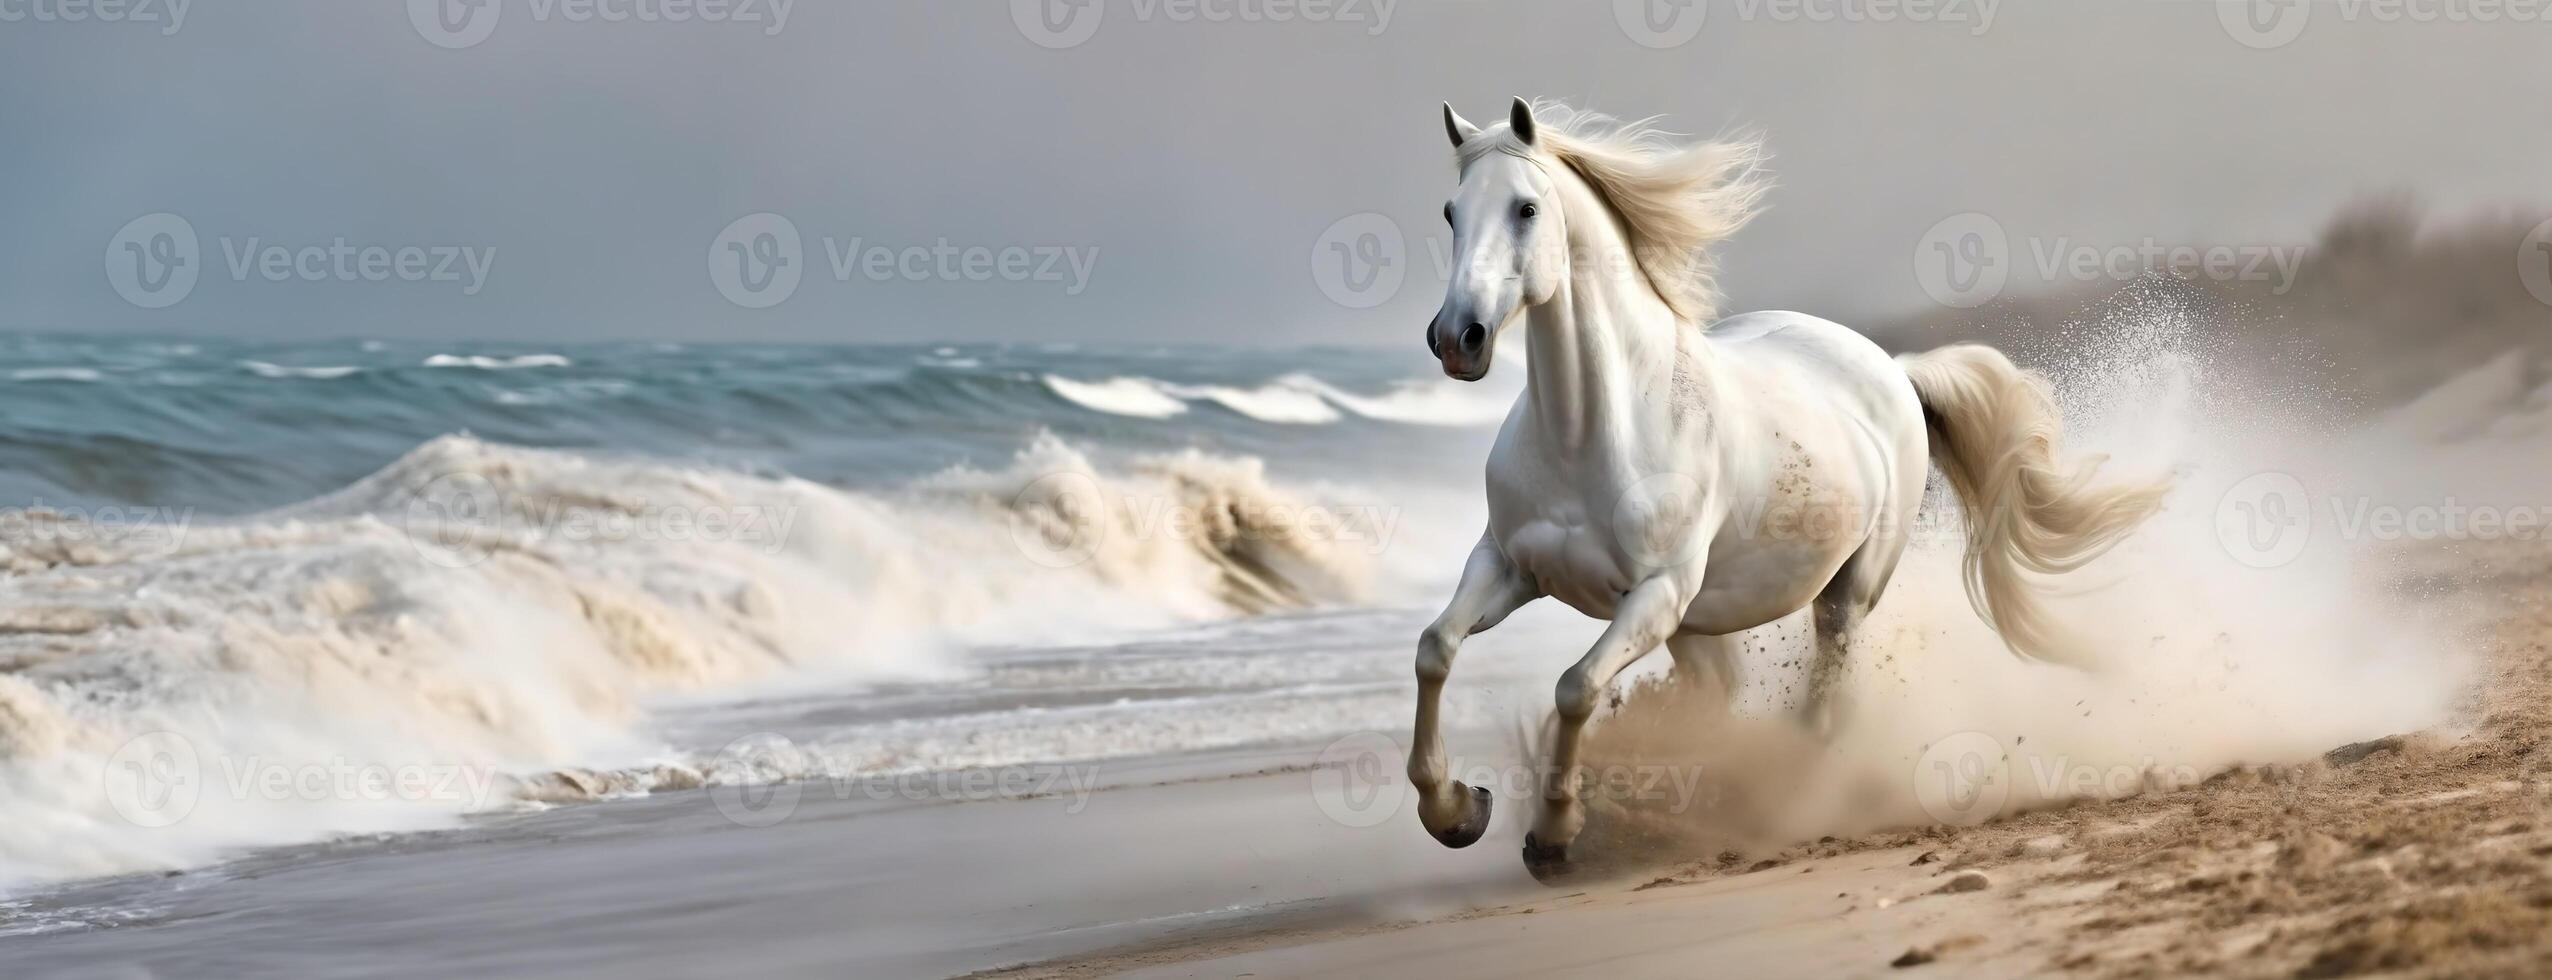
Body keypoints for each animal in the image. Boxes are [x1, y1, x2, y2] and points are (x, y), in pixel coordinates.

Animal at [1408, 101, 2164, 877]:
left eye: (1526, 208)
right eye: (1451, 212)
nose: (1458, 338)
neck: (1588, 431)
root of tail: (1895, 368)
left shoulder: (1655, 595)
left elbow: (1575, 687)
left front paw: (1554, 835)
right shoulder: (1508, 565)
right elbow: (1435, 648)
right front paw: (1456, 811)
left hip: (1845, 596)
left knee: (1822, 708)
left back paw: (1783, 805)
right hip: (1697, 627)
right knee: (1724, 700)